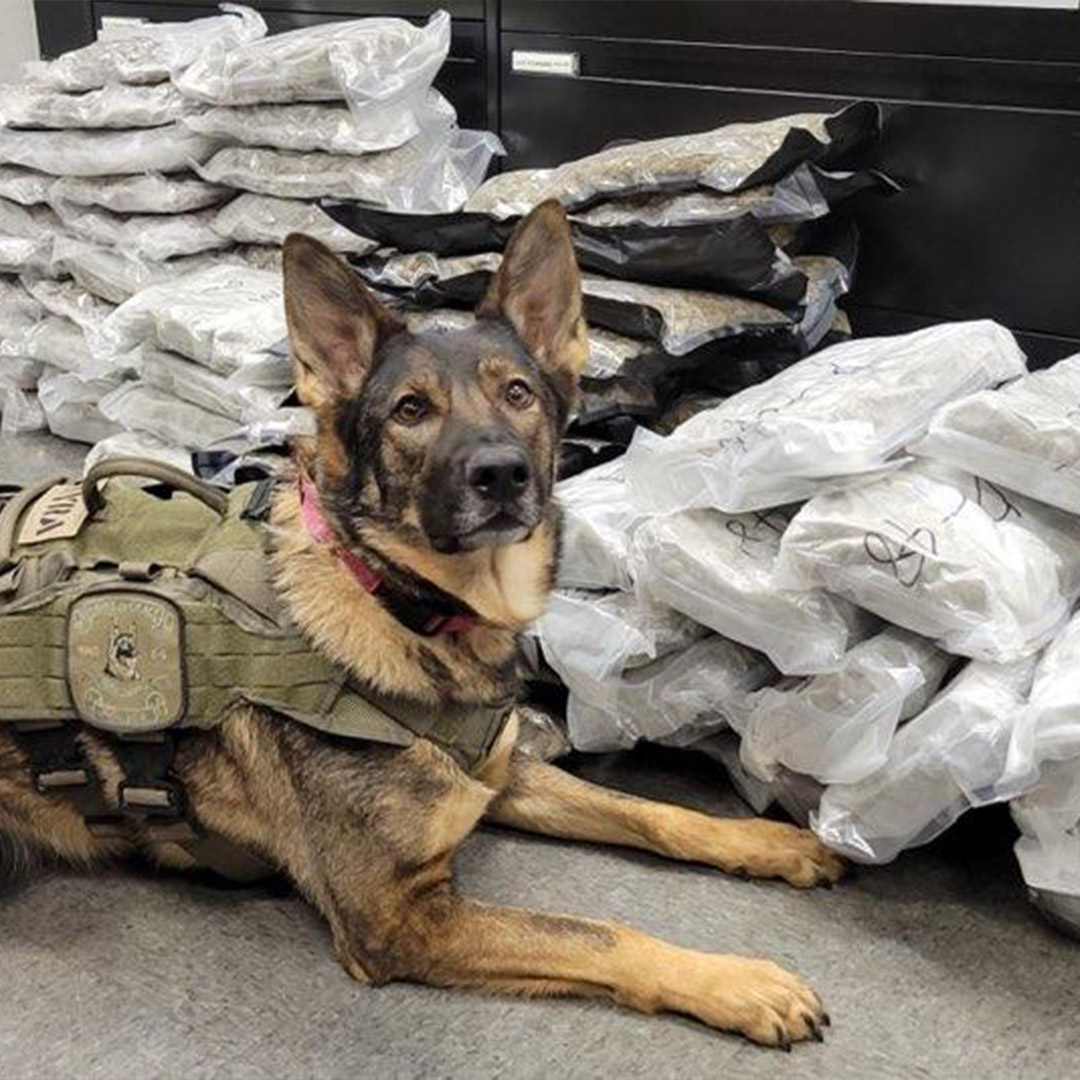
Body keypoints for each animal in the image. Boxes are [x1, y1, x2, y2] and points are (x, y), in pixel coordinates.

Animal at [0, 200, 842, 1045]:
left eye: (518, 394)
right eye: (412, 410)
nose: (502, 474)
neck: (400, 603)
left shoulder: (499, 777)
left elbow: (653, 813)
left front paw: (764, 842)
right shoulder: (399, 918)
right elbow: (600, 934)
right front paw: (735, 980)